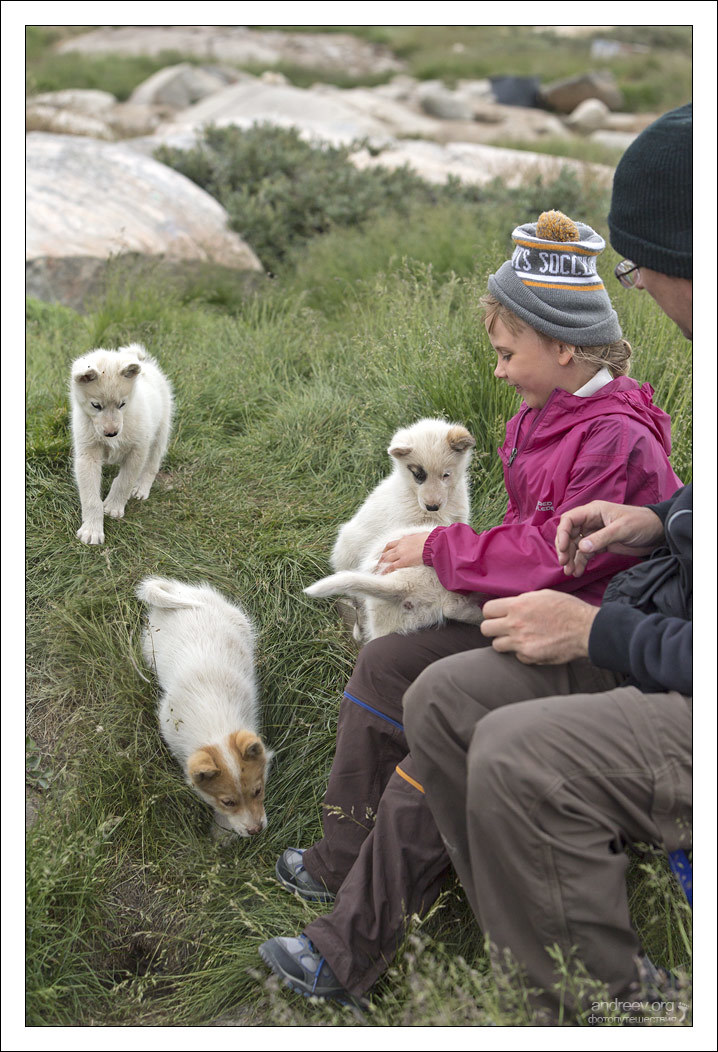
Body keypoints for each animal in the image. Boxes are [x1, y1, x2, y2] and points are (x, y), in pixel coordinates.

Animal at [70, 345, 174, 547]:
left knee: (152, 464)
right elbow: (90, 497)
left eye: (122, 404)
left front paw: (113, 506)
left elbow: (125, 481)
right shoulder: (87, 454)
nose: (112, 433)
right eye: (96, 405)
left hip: (160, 431)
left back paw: (141, 488)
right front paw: (92, 530)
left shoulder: (138, 449)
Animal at [135, 576, 273, 837]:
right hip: (150, 648)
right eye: (227, 802)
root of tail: (180, 590)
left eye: (258, 791)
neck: (214, 721)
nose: (256, 831)